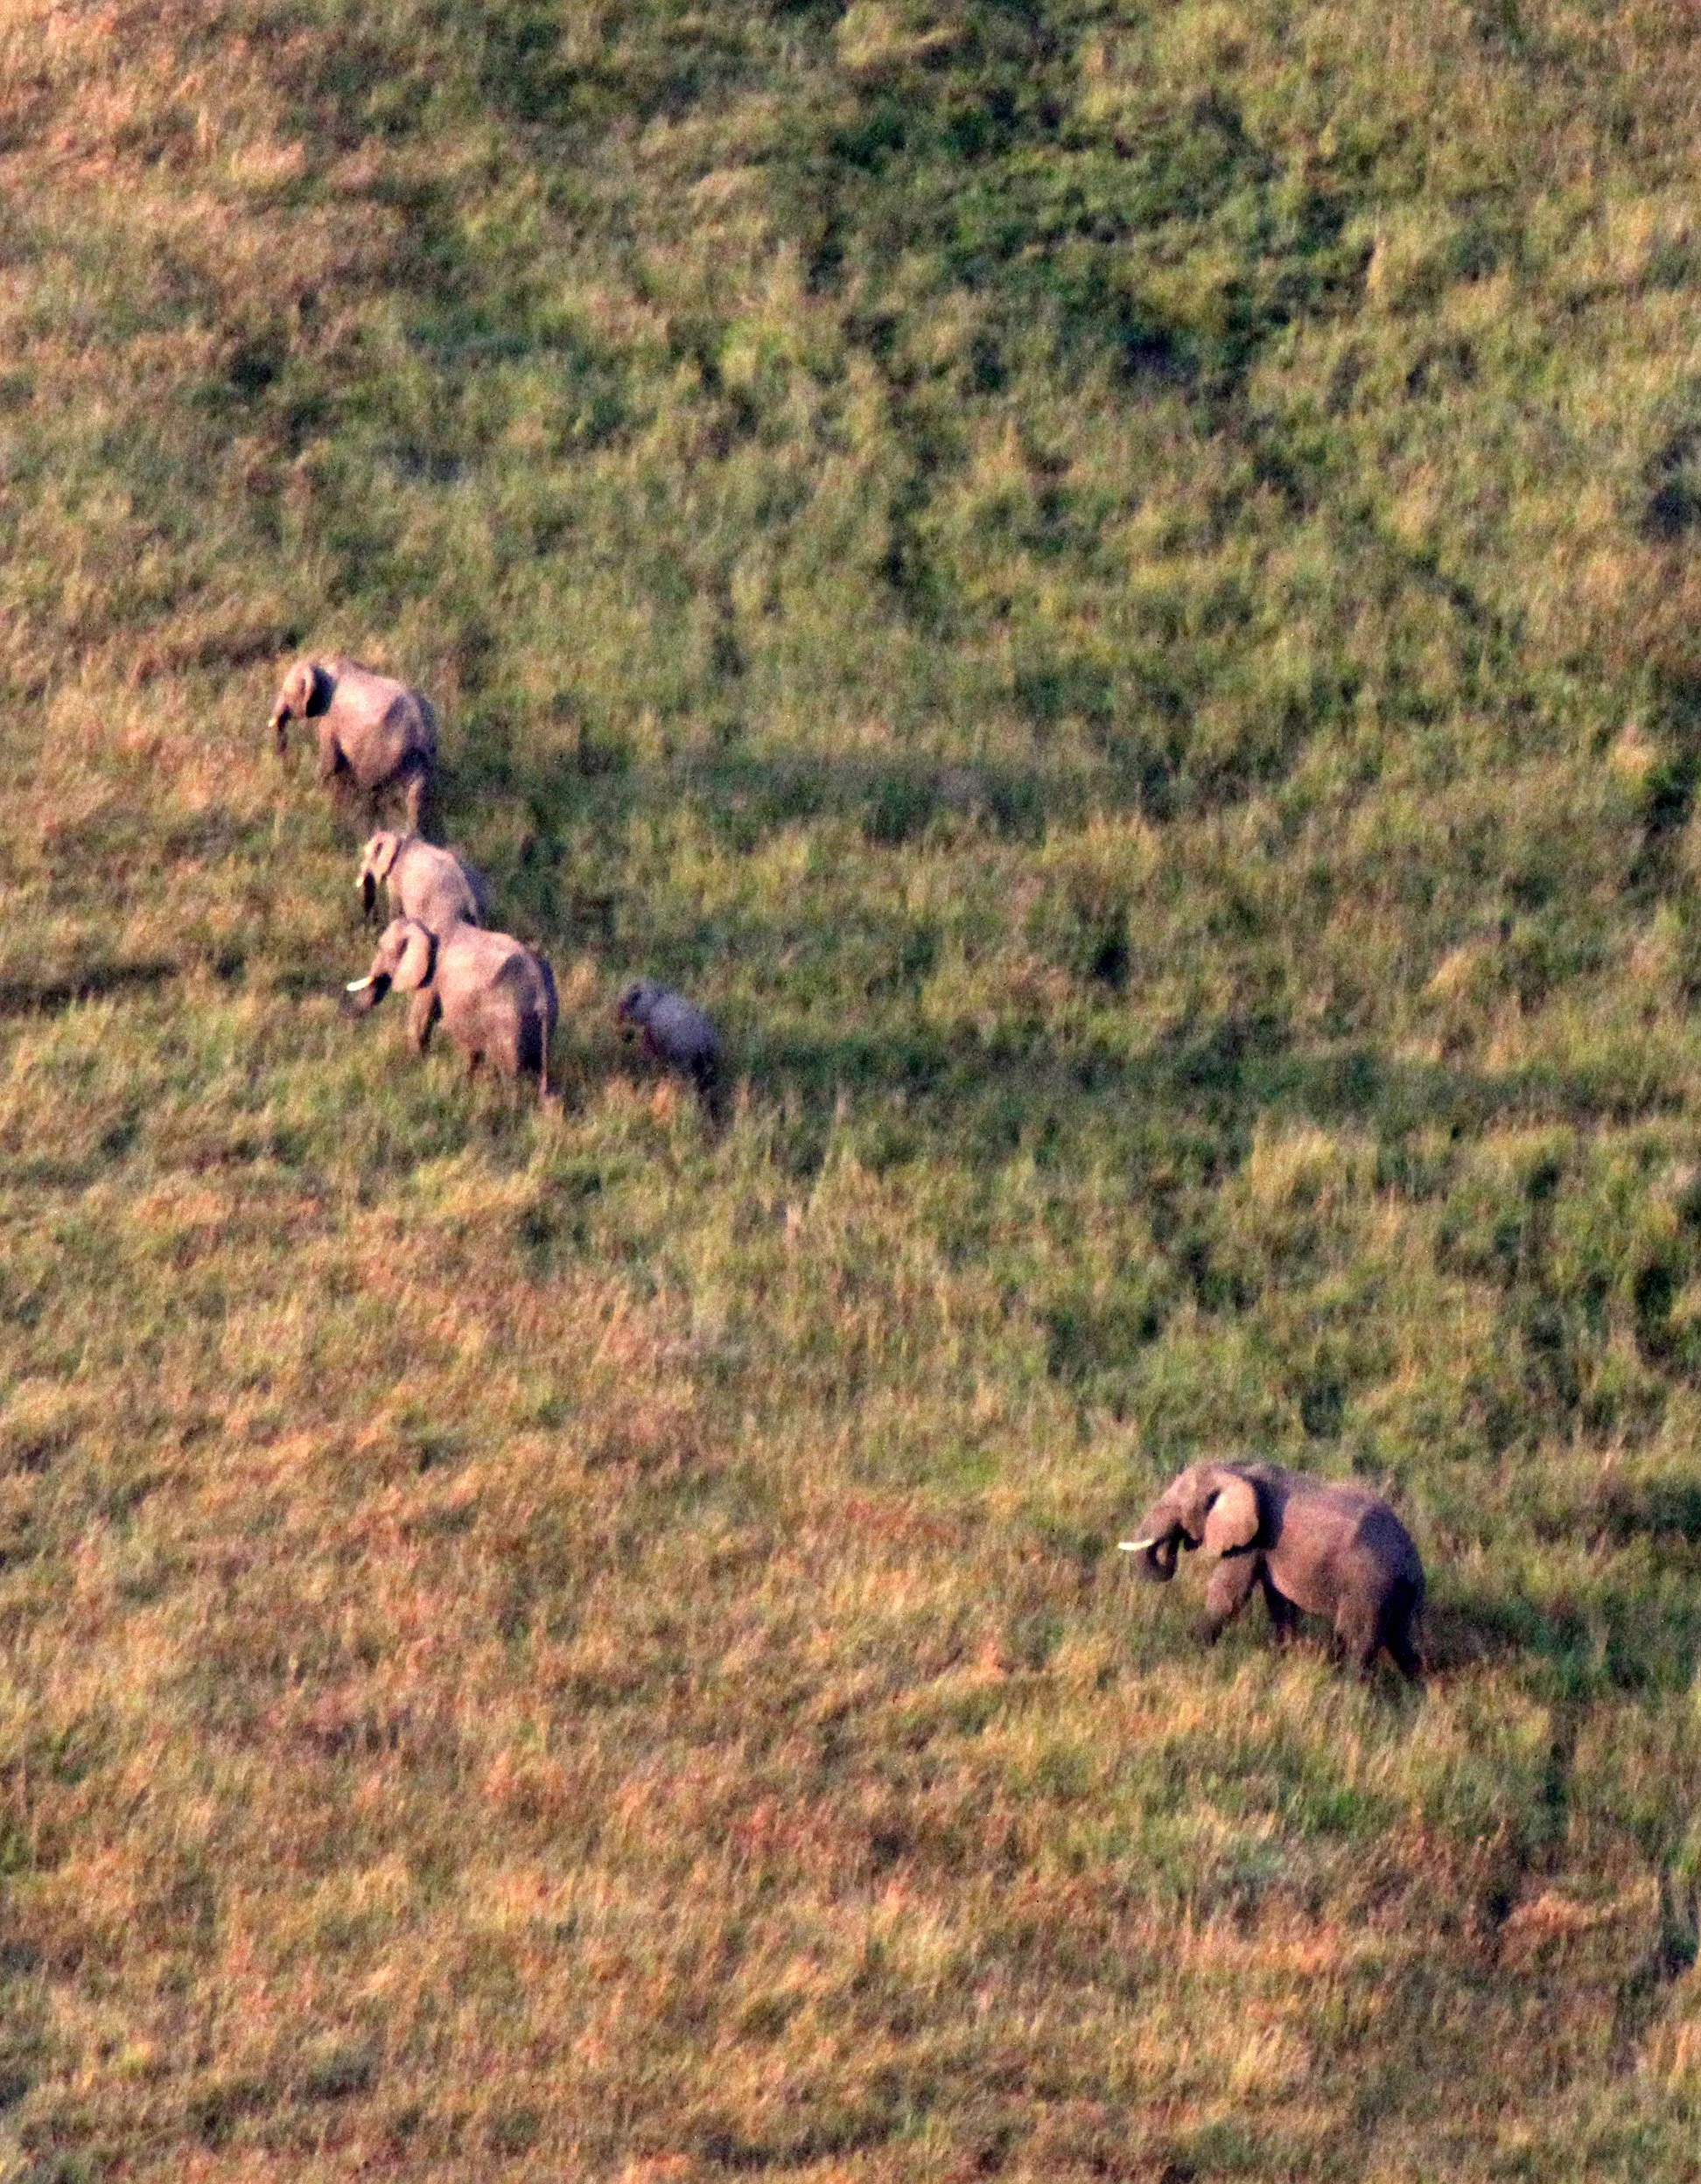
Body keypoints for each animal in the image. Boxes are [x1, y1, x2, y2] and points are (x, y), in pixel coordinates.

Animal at [269, 657, 438, 831]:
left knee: (377, 787)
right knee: (415, 792)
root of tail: (420, 724)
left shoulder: (330, 721)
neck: (322, 665)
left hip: (386, 751)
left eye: (285, 693)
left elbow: (330, 764)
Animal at [347, 916, 558, 1103]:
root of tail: (542, 995)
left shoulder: (432, 978)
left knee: (510, 1073)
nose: (348, 1017)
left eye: (381, 948)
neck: (425, 926)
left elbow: (420, 1021)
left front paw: (418, 1066)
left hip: (507, 1020)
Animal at [1119, 1461, 1425, 1679]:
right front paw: (1284, 1655)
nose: (1178, 1543)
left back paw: (1350, 1692)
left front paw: (1193, 1647)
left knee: (1357, 1638)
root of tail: (1412, 1564)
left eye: (1176, 1508)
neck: (1233, 1469)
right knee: (1401, 1642)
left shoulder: (1254, 1538)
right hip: (1394, 1594)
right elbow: (1280, 1602)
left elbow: (1229, 1592)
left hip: (1368, 1586)